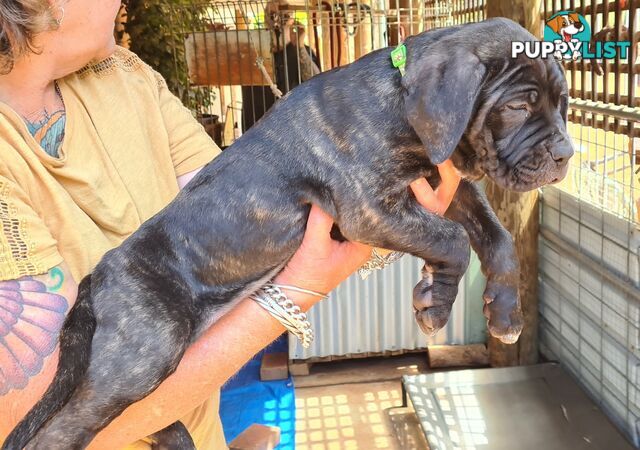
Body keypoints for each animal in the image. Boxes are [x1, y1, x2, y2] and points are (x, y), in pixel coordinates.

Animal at [3, 17, 576, 450]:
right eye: (518, 106)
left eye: (563, 103)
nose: (566, 155)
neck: (400, 101)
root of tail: (97, 278)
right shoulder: (371, 208)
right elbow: (454, 240)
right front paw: (436, 302)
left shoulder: (443, 185)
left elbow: (496, 237)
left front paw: (504, 314)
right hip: (142, 352)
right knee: (61, 430)